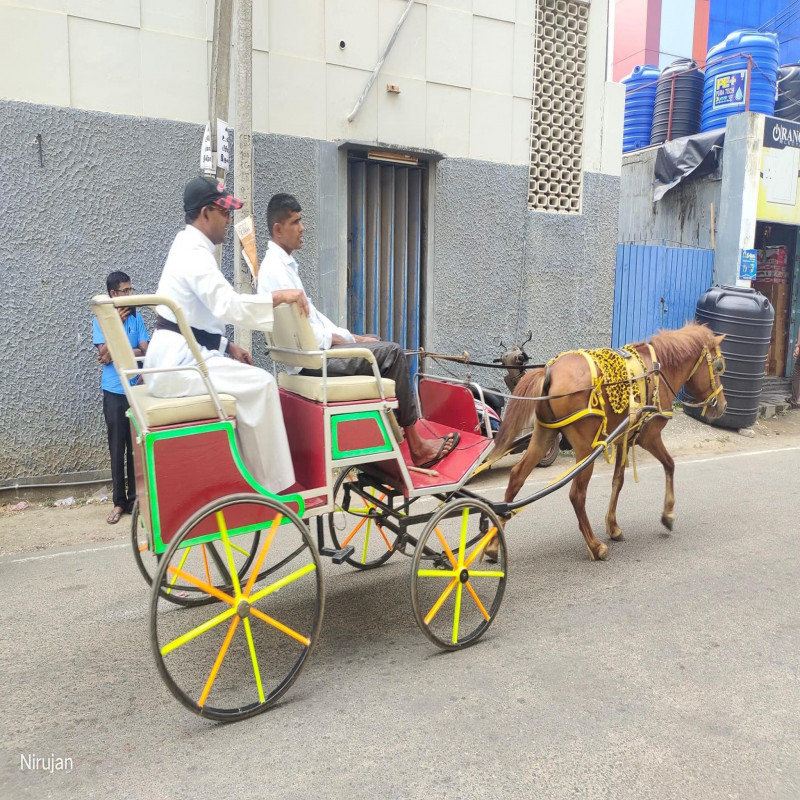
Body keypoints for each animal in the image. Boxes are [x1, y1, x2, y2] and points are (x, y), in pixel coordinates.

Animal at [484, 322, 728, 560]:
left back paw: (494, 543)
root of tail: (549, 370)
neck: (658, 368)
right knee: (576, 494)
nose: (723, 405)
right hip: (586, 449)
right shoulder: (649, 436)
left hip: (544, 436)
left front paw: (613, 526)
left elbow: (618, 481)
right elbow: (670, 464)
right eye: (719, 367)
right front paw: (668, 514)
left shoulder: (623, 438)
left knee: (516, 478)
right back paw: (594, 546)